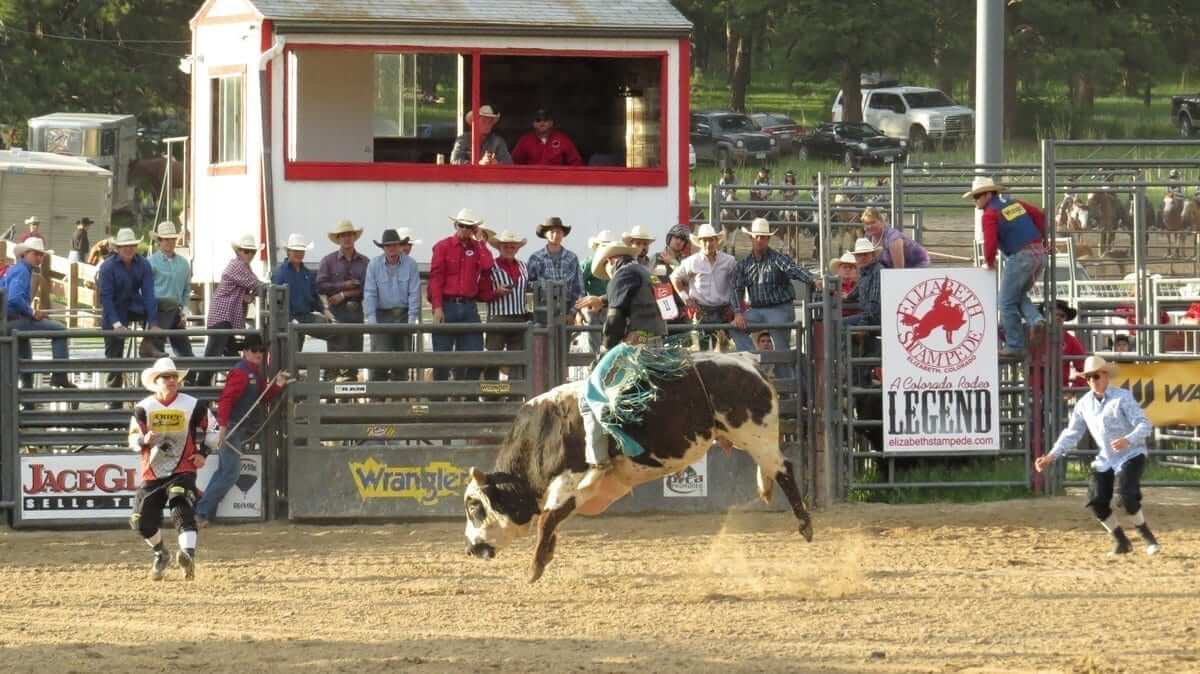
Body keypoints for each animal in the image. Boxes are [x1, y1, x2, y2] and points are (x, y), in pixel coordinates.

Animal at [460, 347, 816, 580]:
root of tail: (748, 364)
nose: (471, 549)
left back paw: (805, 525)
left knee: (784, 468)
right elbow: (552, 520)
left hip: (756, 433)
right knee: (771, 469)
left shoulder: (573, 478)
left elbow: (547, 519)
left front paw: (535, 568)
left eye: (476, 507)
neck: (545, 433)